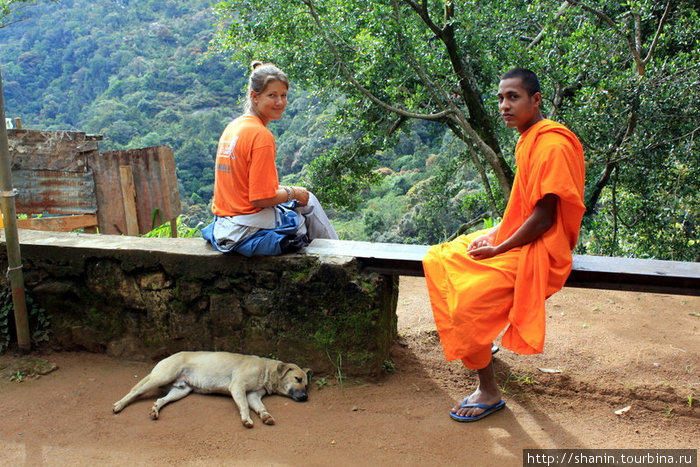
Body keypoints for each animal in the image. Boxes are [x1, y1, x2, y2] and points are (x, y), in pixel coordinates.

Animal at [113, 352, 310, 428]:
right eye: (297, 379)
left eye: (306, 384)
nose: (305, 397)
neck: (266, 371)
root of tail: (167, 357)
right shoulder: (238, 387)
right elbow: (244, 406)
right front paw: (246, 419)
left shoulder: (253, 395)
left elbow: (261, 407)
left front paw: (266, 416)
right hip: (161, 377)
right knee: (135, 392)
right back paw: (119, 405)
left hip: (181, 391)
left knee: (160, 400)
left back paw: (155, 410)